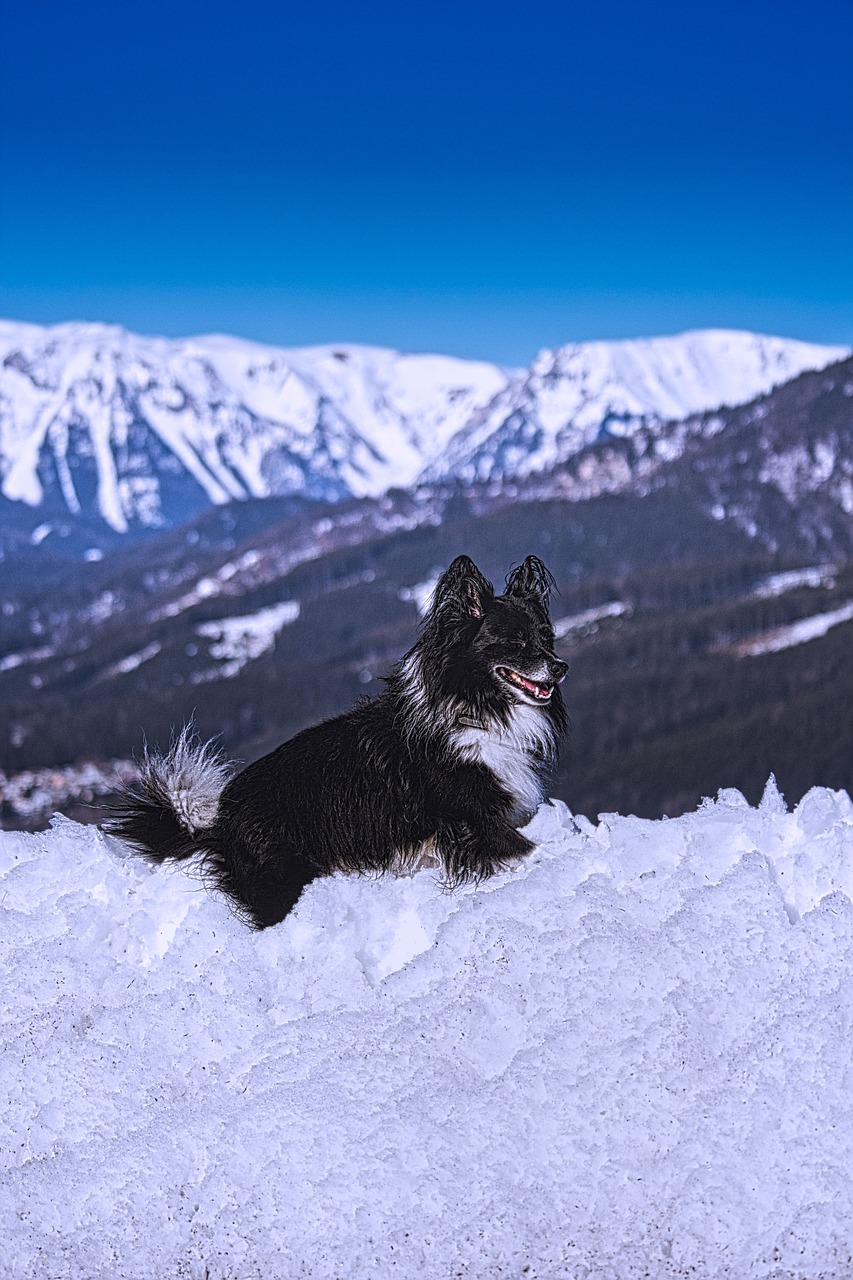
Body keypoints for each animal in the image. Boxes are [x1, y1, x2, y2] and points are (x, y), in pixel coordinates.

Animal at [106, 555, 568, 926]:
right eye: (515, 642)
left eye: (547, 638)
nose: (561, 667)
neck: (475, 710)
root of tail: (219, 821)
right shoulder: (474, 822)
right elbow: (530, 849)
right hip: (282, 878)